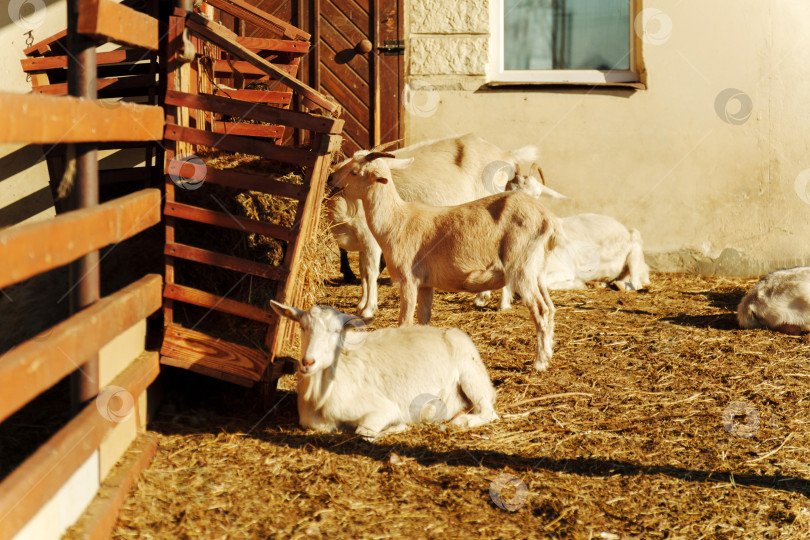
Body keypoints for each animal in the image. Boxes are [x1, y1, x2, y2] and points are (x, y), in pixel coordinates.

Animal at [269, 301, 499, 440]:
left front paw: (399, 426)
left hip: (471, 374)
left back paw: (461, 420)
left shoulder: (383, 408)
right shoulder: (312, 421)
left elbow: (365, 431)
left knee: (489, 412)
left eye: (336, 331)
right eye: (302, 327)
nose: (308, 362)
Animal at [327, 133, 540, 318]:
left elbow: (370, 271)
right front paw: (361, 303)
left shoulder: (371, 239)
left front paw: (368, 309)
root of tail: (506, 155)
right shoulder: (363, 241)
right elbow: (363, 271)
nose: (330, 178)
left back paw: (498, 303)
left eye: (355, 171)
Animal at [330, 151, 561, 371]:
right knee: (550, 308)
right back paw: (549, 354)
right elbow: (423, 320)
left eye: (354, 172)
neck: (396, 221)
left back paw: (540, 363)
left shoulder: (408, 280)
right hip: (537, 271)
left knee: (540, 310)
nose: (332, 181)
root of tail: (548, 220)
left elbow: (405, 322)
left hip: (522, 268)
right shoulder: (426, 284)